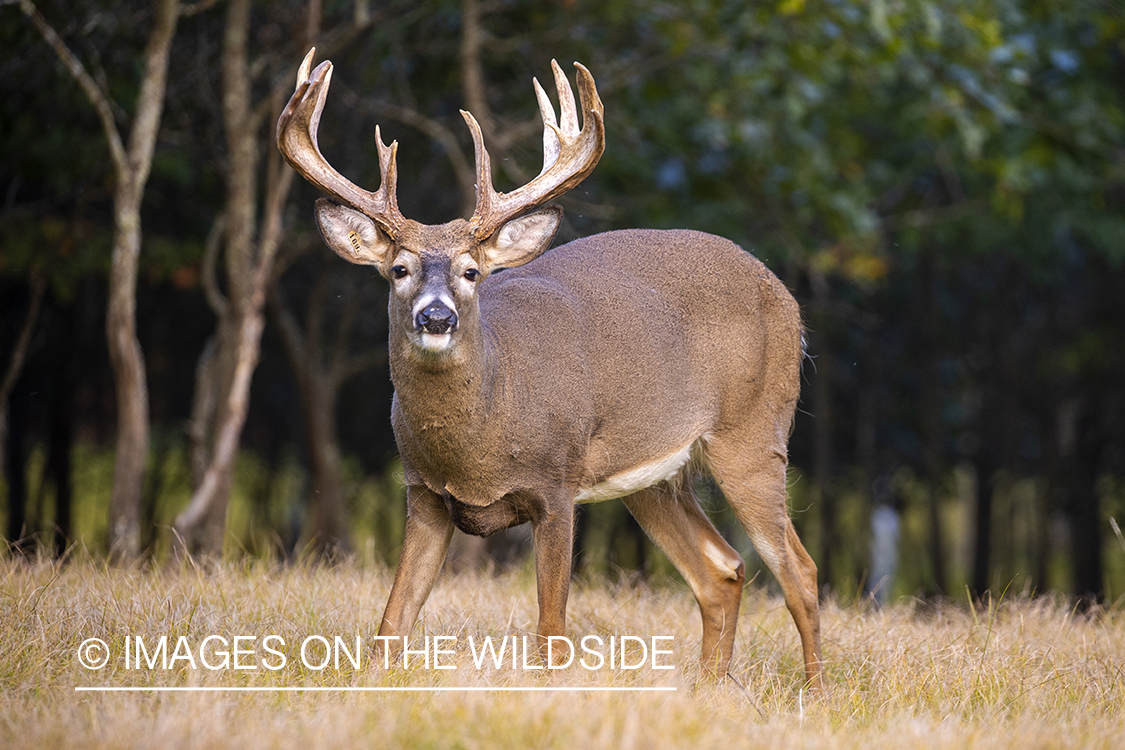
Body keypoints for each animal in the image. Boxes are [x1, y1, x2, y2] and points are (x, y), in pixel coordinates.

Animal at [279, 48, 828, 692]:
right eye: (398, 269)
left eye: (471, 271)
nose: (436, 316)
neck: (480, 437)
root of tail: (788, 301)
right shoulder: (424, 492)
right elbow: (391, 625)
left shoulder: (557, 482)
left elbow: (551, 633)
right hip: (656, 476)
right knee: (722, 569)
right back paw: (711, 688)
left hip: (754, 432)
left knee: (801, 571)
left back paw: (817, 693)